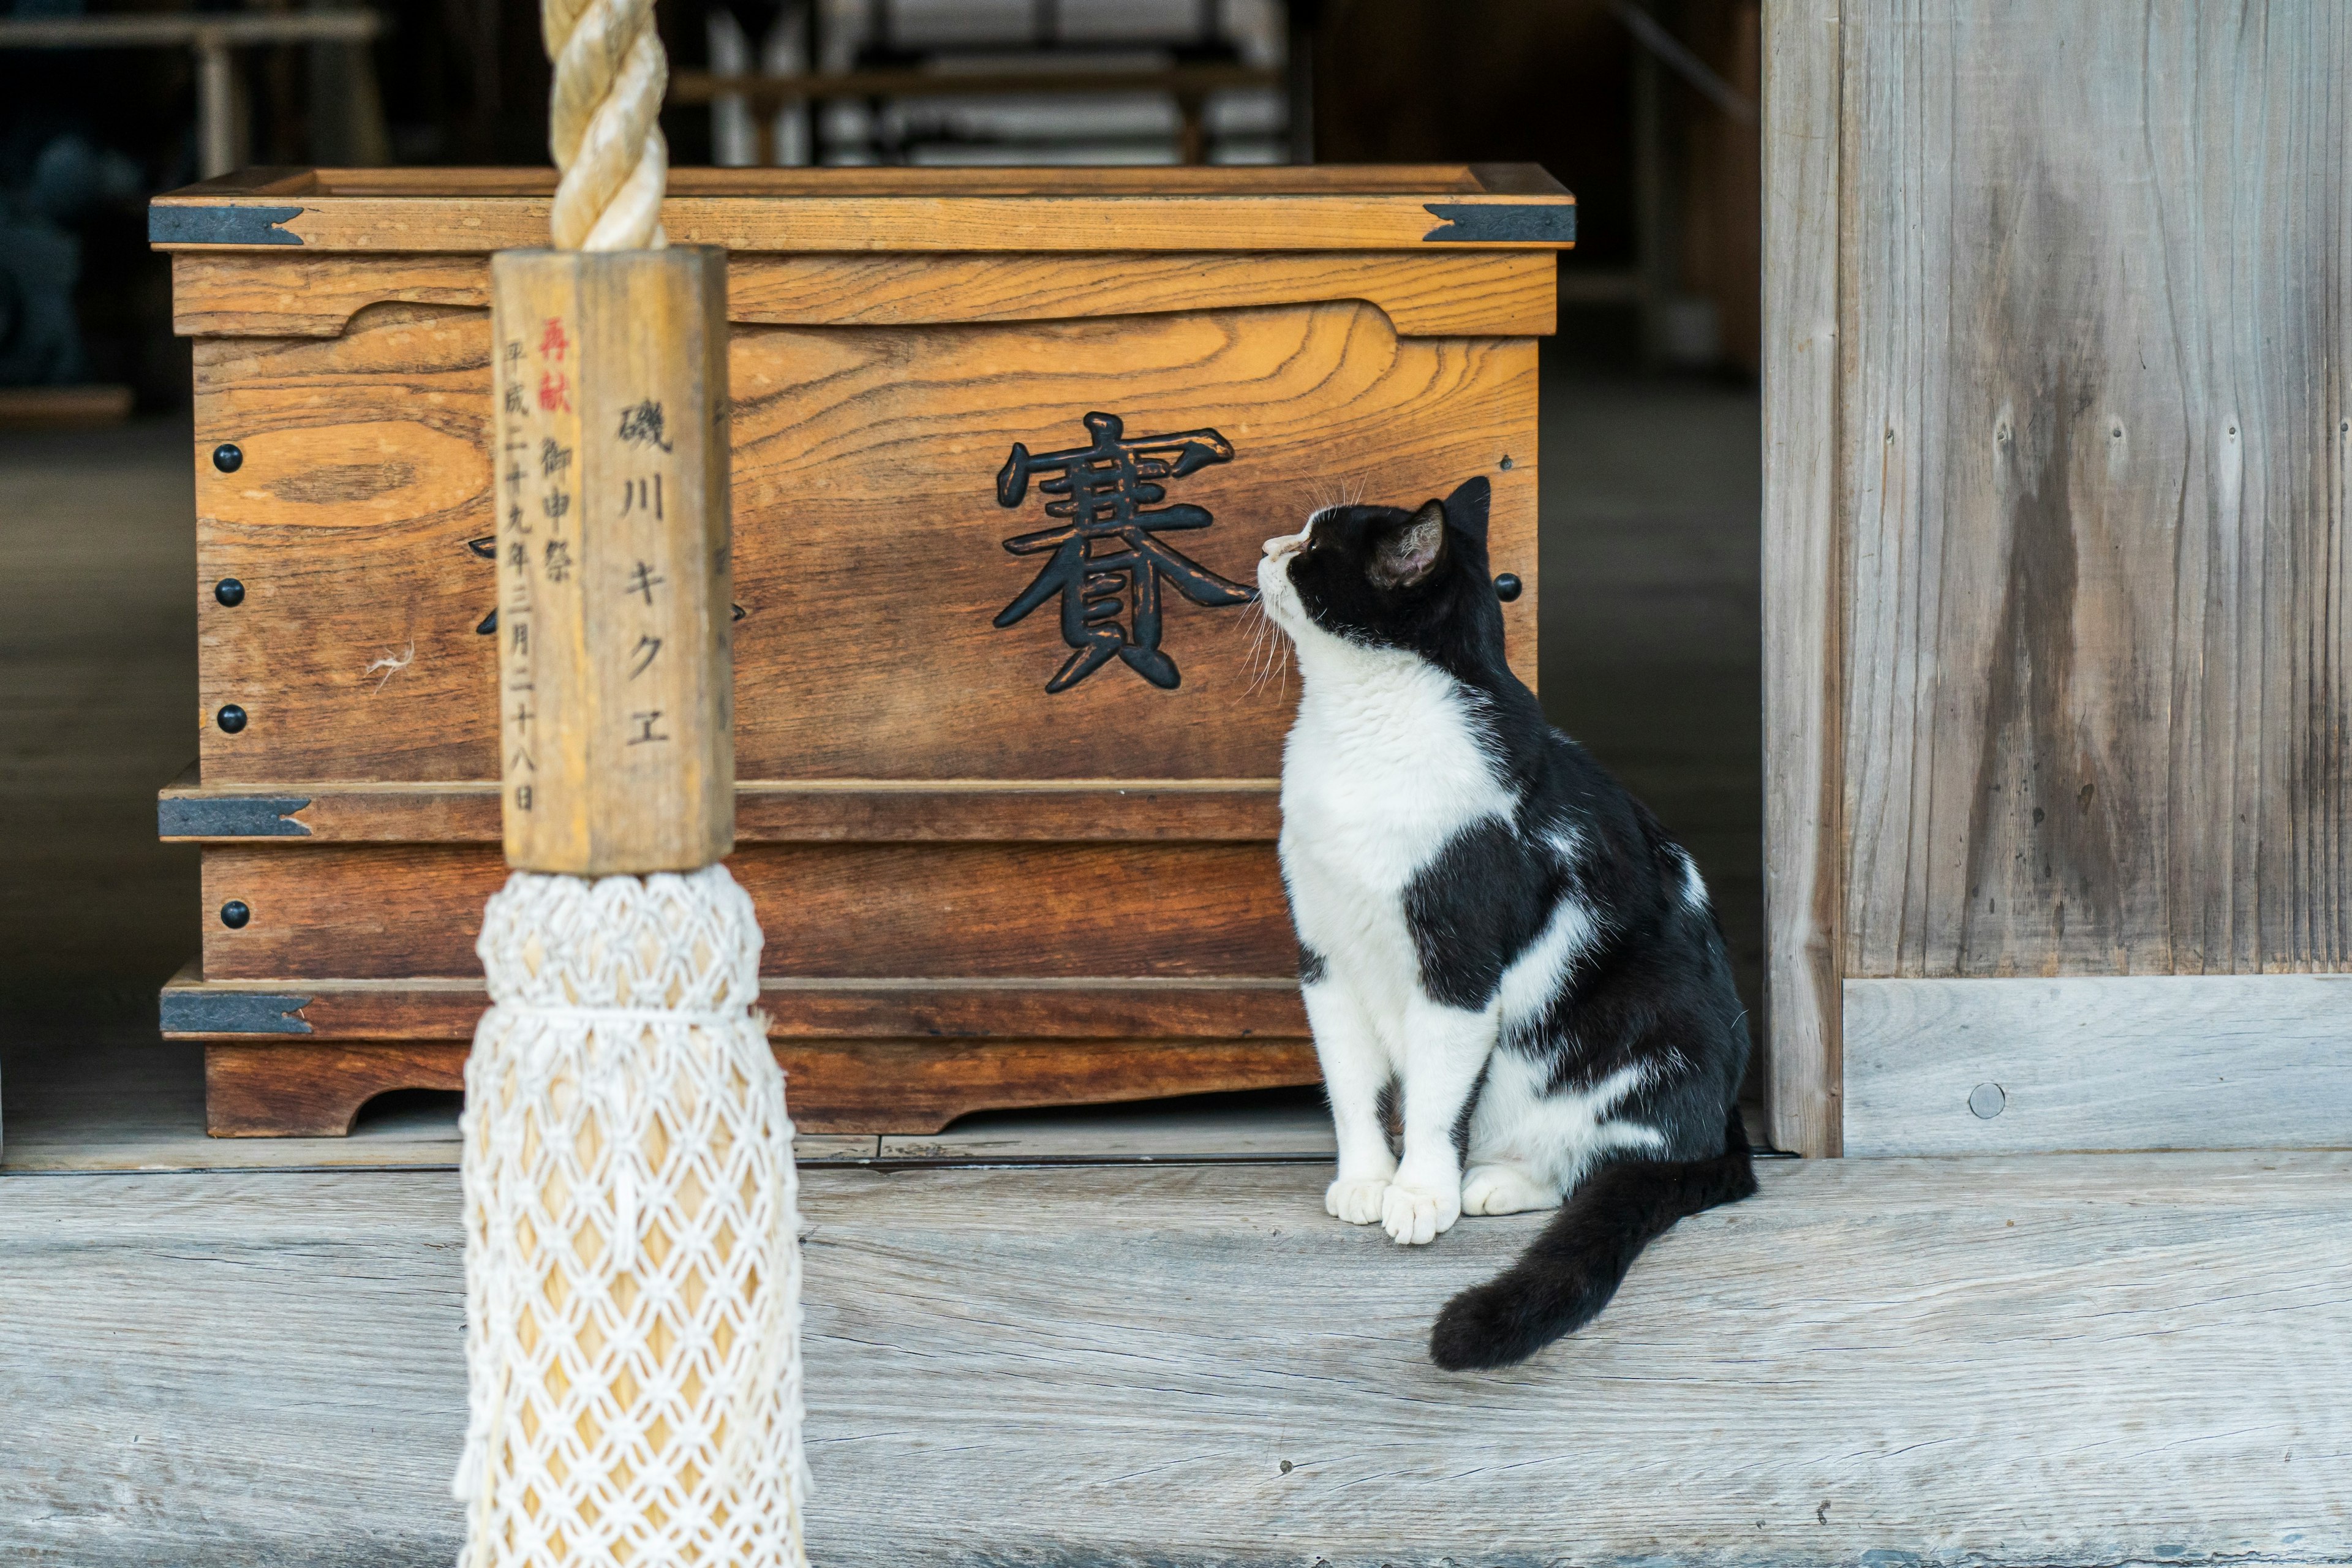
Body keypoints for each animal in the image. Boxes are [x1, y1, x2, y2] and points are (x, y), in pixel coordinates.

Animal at [1261, 479, 1759, 1373]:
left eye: (1313, 550)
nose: (1267, 546)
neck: (1361, 734)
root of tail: (1727, 1124)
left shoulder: (1458, 966)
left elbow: (1434, 1096)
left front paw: (1420, 1192)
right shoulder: (1325, 959)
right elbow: (1351, 1084)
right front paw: (1366, 1179)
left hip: (1645, 1037)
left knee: (1612, 1162)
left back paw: (1489, 1182)